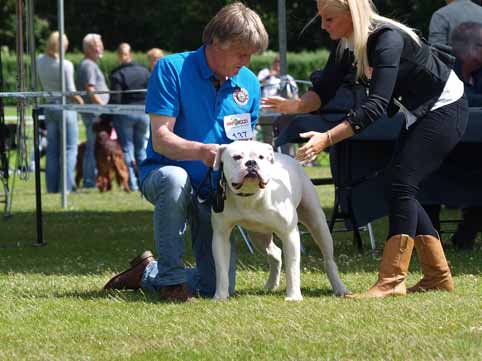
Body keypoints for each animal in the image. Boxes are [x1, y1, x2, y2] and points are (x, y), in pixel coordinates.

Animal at [212, 139, 350, 300]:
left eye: (261, 157)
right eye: (237, 157)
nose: (251, 163)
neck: (251, 195)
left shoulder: (289, 234)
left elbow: (292, 267)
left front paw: (294, 296)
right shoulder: (221, 236)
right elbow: (221, 268)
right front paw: (220, 296)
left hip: (318, 224)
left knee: (329, 260)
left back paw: (340, 288)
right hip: (258, 236)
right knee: (275, 254)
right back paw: (271, 284)